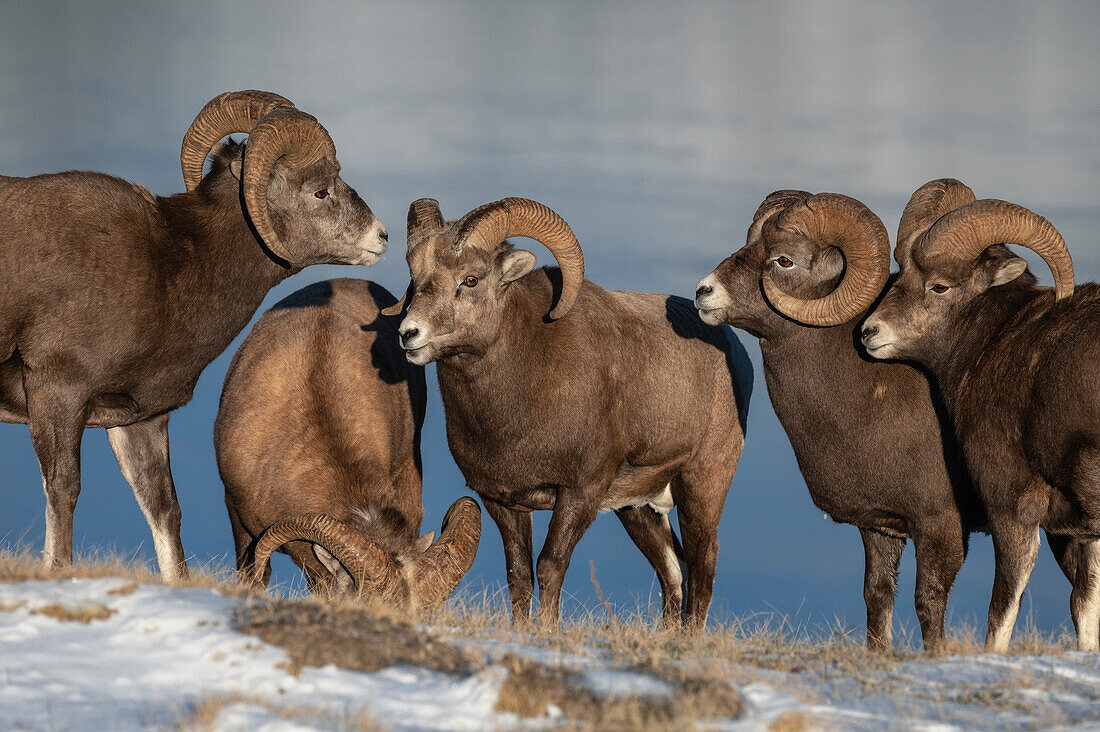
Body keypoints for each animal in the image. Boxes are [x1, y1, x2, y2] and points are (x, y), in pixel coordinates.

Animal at [0, 89, 387, 576]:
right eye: (320, 190)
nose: (382, 237)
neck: (169, 270)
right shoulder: (58, 391)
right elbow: (63, 490)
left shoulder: (140, 419)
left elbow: (165, 510)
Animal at [391, 195, 752, 629]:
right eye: (415, 274)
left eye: (471, 280)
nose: (409, 334)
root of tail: (734, 349)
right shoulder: (502, 502)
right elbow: (519, 575)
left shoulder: (580, 494)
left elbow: (550, 566)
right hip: (637, 509)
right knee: (671, 571)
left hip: (702, 483)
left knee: (702, 567)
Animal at [690, 188, 985, 651]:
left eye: (784, 260)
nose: (704, 292)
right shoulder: (881, 528)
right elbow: (877, 597)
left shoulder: (942, 528)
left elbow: (929, 603)